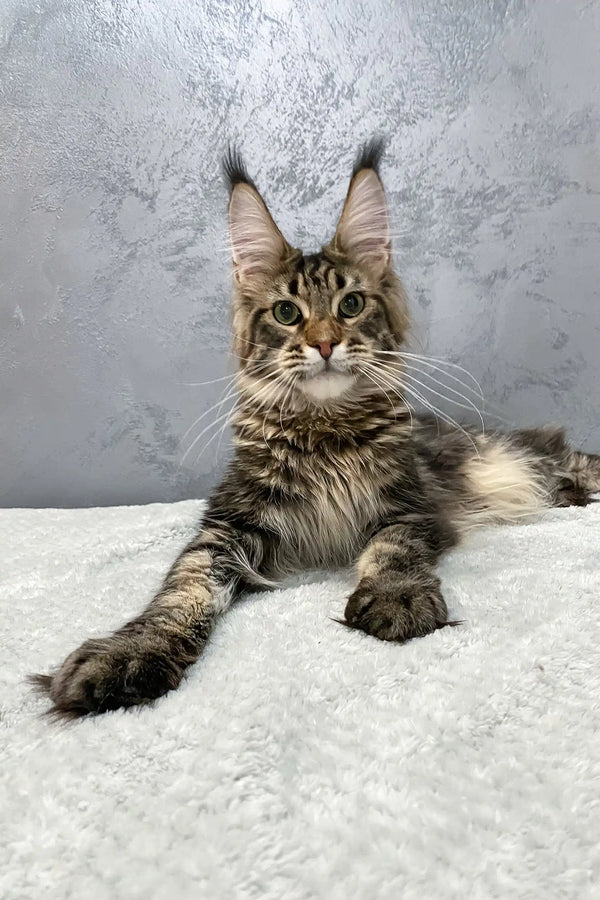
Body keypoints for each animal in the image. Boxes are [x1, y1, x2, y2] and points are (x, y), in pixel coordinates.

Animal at [34, 139, 600, 716]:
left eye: (351, 304)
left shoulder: (410, 508)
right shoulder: (226, 525)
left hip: (517, 456)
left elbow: (391, 549)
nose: (325, 343)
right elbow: (184, 587)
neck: (325, 432)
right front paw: (130, 653)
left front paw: (396, 598)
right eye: (287, 313)